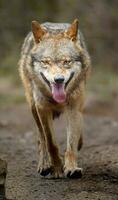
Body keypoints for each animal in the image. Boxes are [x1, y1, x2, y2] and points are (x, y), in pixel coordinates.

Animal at [18, 18, 91, 178]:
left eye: (66, 62)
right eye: (46, 62)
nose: (58, 80)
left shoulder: (74, 109)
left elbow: (71, 144)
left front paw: (71, 168)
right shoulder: (42, 109)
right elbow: (51, 142)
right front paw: (56, 169)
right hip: (33, 108)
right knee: (41, 139)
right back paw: (44, 165)